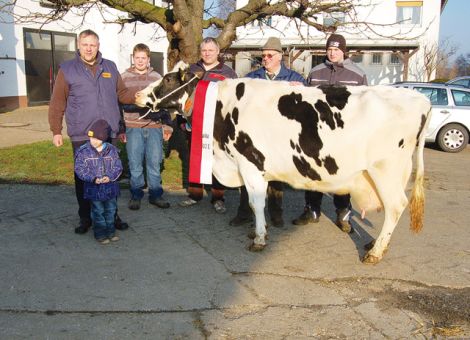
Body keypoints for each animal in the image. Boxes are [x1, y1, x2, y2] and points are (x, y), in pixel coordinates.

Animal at [135, 61, 430, 262]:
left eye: (168, 79)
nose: (137, 95)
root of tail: (419, 98)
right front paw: (256, 231)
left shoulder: (250, 163)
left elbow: (256, 202)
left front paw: (259, 238)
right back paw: (373, 245)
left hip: (386, 170)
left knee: (396, 206)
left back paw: (375, 252)